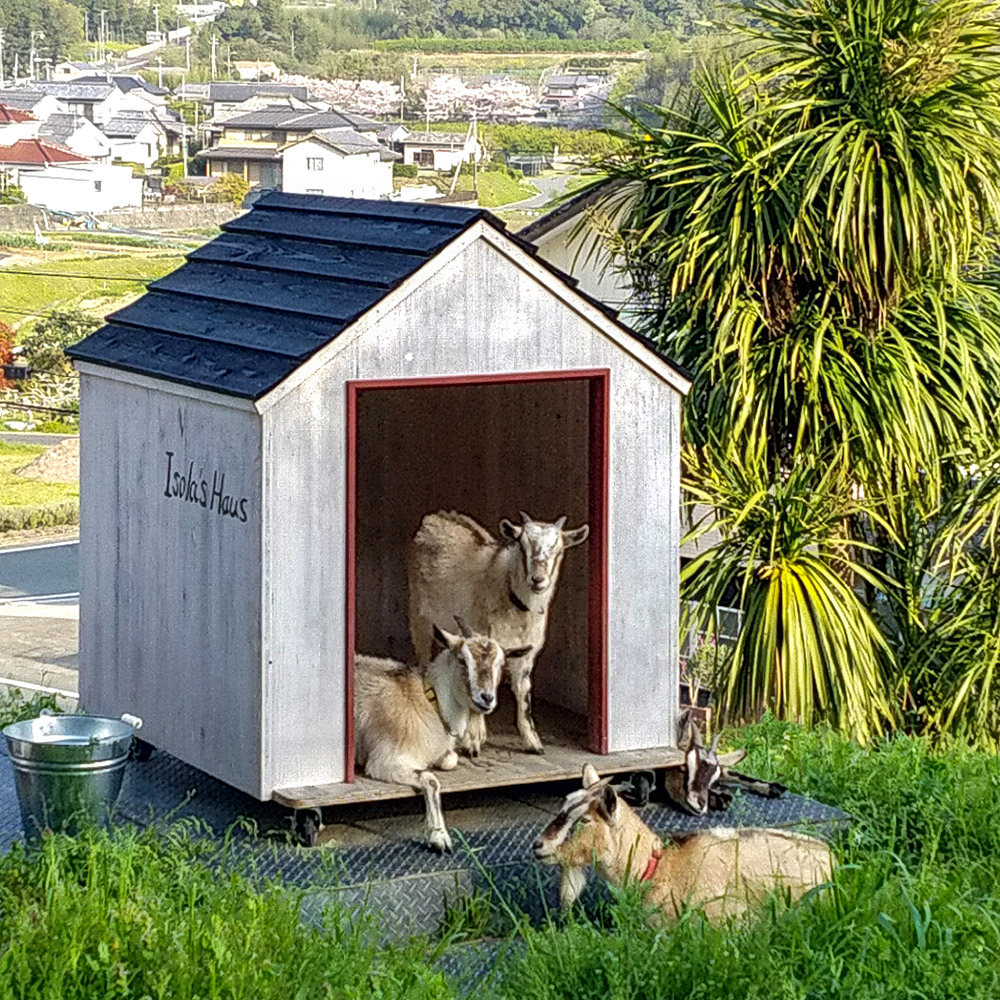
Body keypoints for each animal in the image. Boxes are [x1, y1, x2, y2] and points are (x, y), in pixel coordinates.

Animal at [410, 512, 588, 752]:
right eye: (522, 545)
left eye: (558, 550)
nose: (538, 580)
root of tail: (435, 517)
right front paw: (474, 739)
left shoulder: (527, 653)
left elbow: (523, 690)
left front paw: (533, 742)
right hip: (419, 615)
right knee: (422, 655)